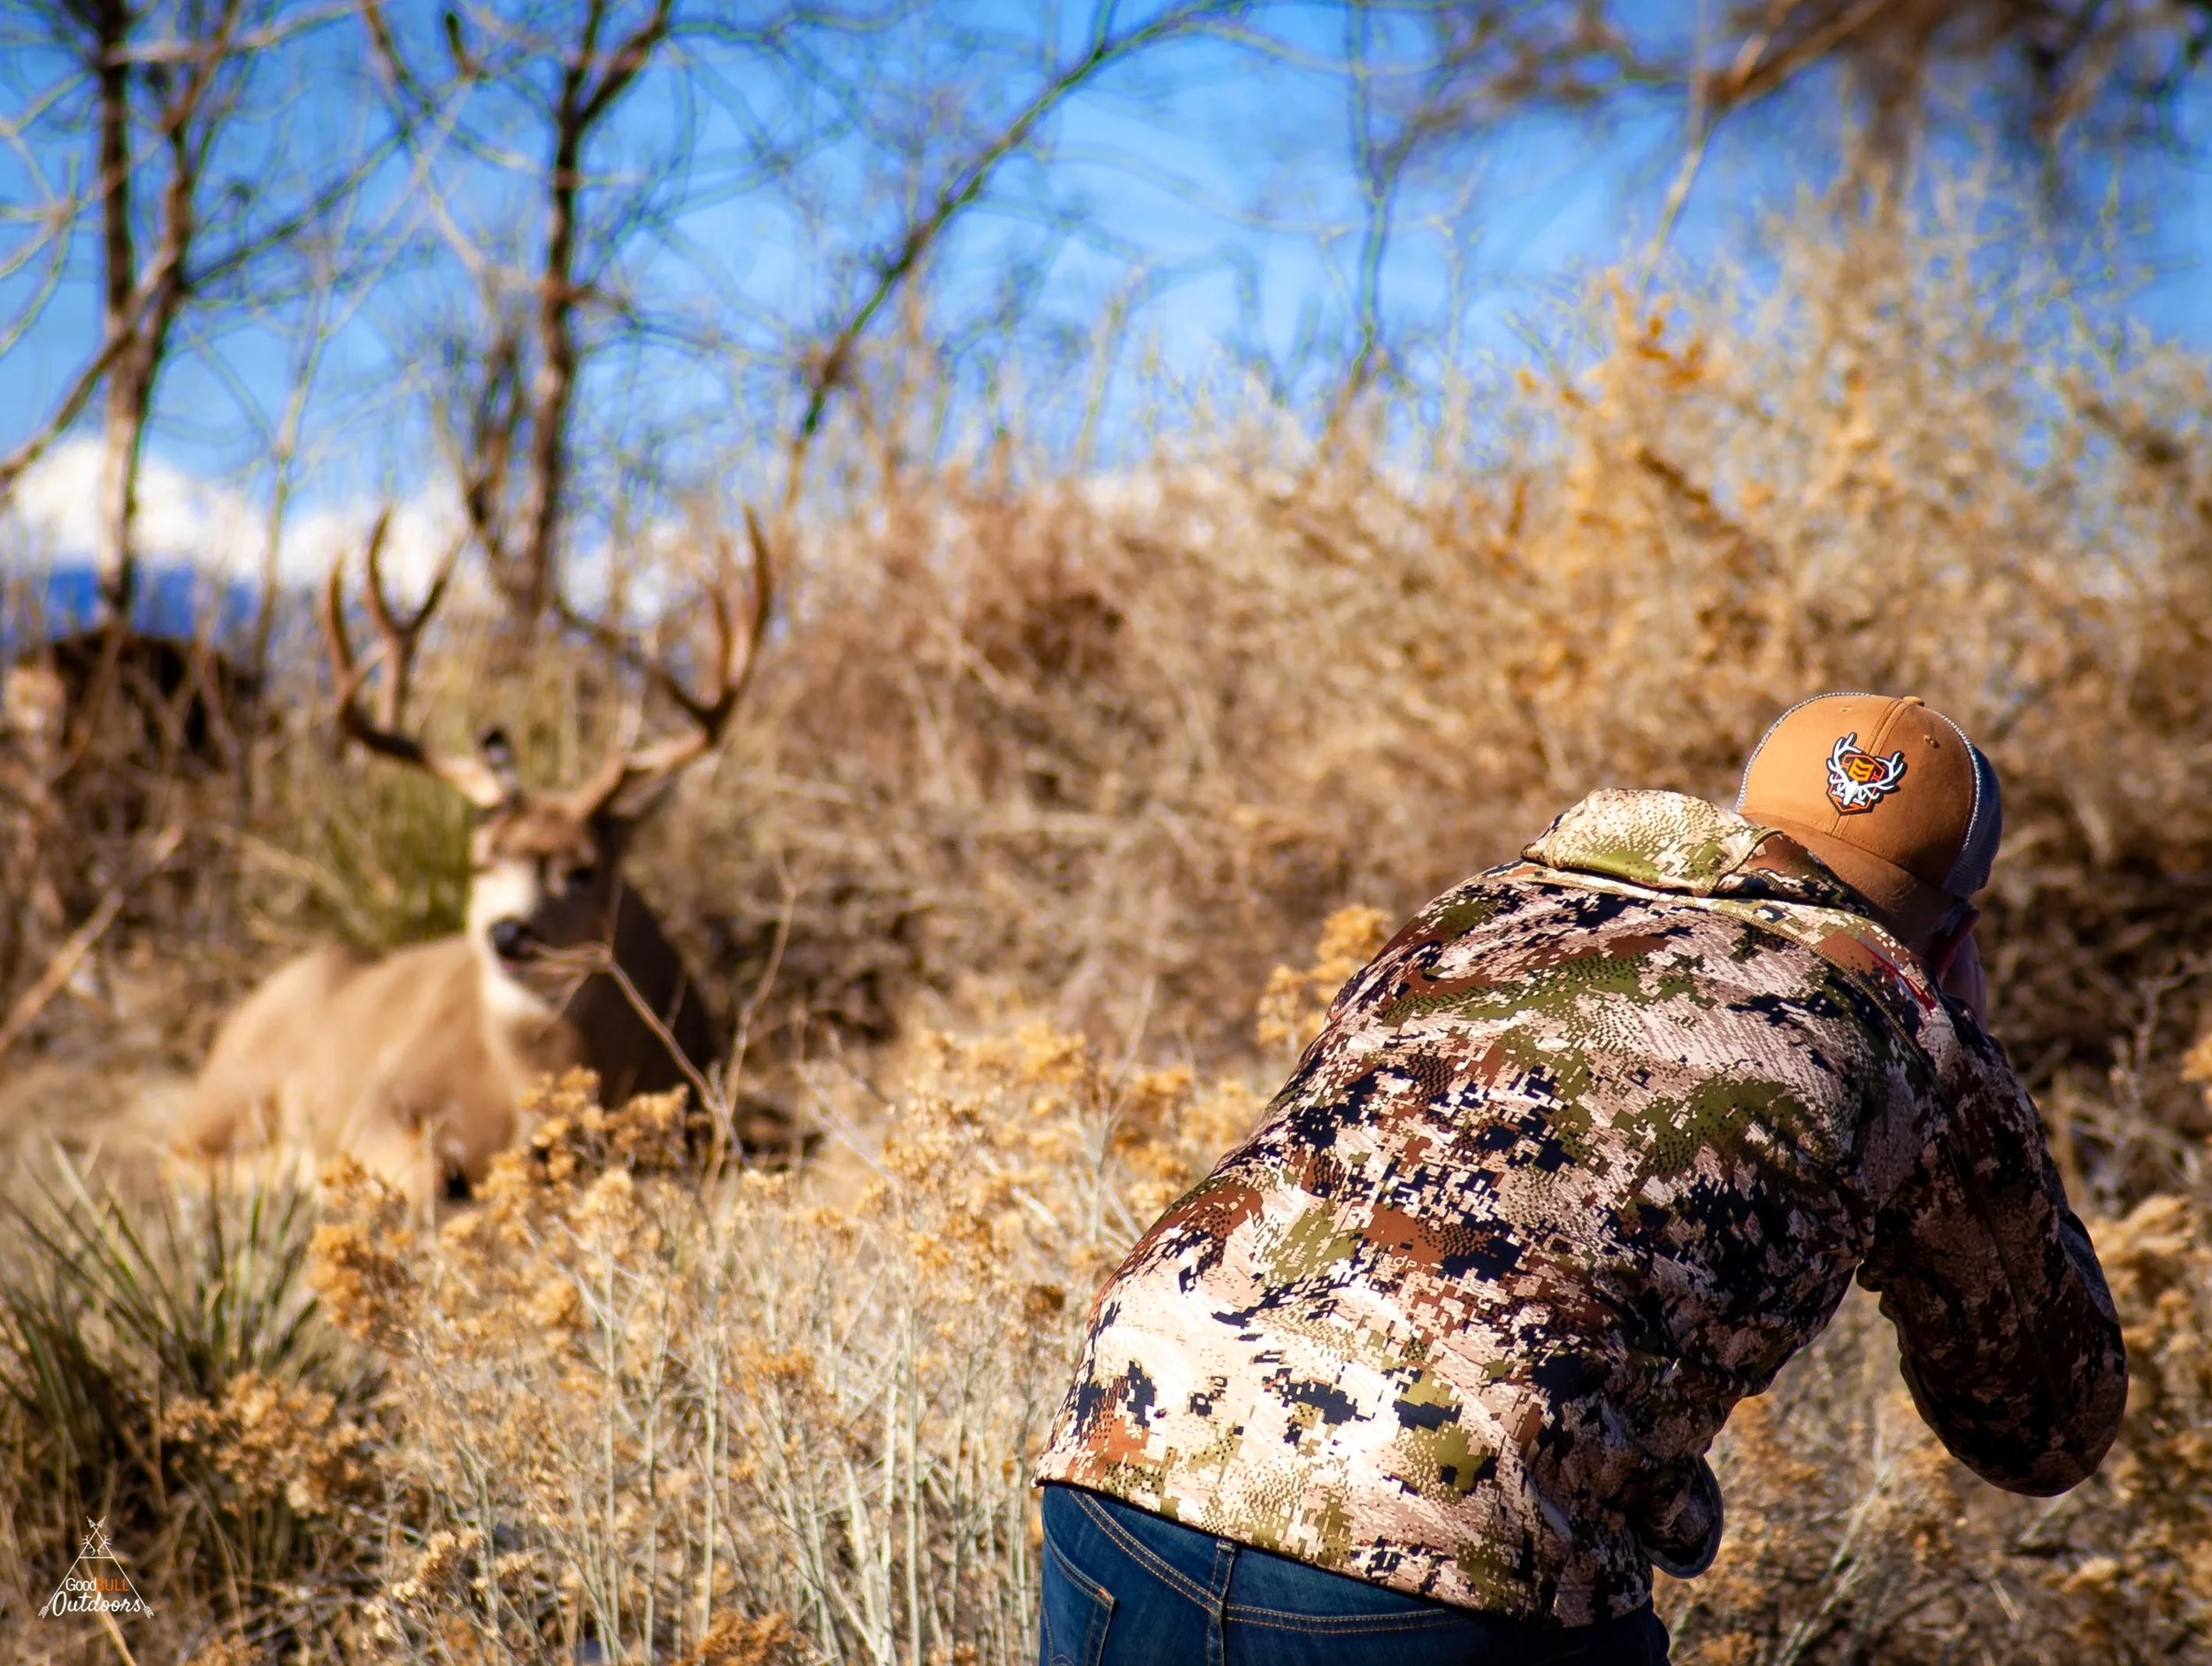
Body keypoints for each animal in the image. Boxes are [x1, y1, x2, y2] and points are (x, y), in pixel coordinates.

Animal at [178, 513, 769, 1208]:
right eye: (481, 862)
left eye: (585, 867)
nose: (509, 932)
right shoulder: (379, 1099)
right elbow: (424, 1179)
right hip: (230, 1094)